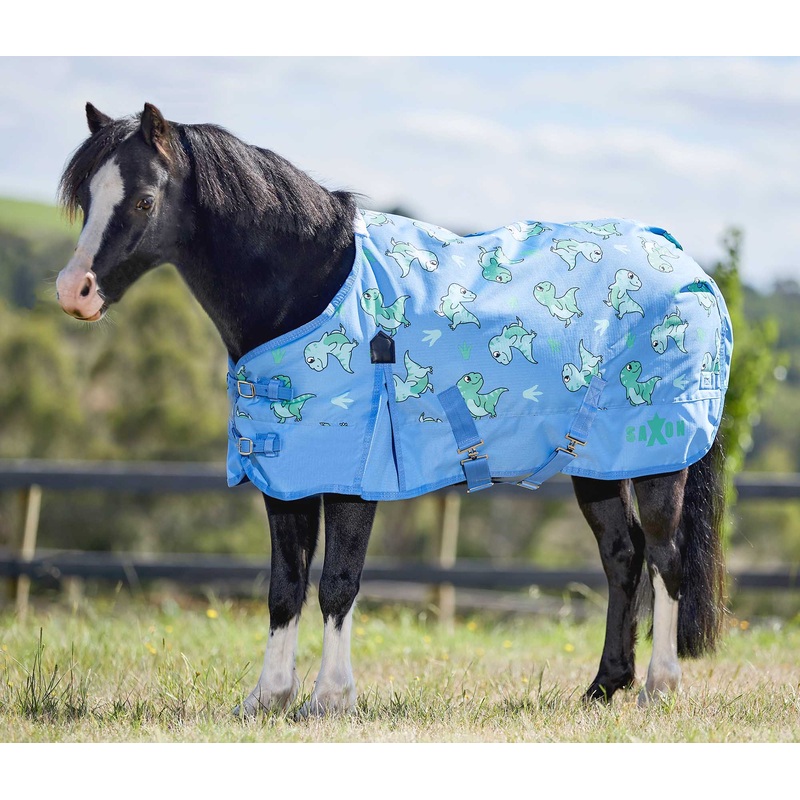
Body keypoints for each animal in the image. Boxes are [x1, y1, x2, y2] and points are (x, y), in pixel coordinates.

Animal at [55, 103, 729, 717]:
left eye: (144, 200)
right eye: (86, 198)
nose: (73, 291)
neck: (311, 287)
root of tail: (685, 263)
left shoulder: (356, 475)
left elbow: (337, 584)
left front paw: (330, 699)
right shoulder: (289, 474)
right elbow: (284, 586)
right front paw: (268, 698)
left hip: (658, 458)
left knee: (666, 558)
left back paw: (659, 689)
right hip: (598, 463)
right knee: (623, 556)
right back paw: (603, 686)